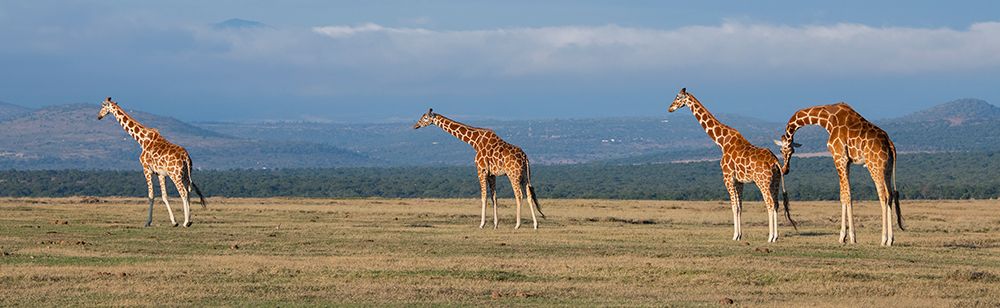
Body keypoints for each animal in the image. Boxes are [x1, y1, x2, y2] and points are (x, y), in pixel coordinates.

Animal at [98, 97, 207, 227]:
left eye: (103, 106)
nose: (99, 116)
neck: (141, 140)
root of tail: (186, 157)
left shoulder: (146, 169)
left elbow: (151, 196)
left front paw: (148, 222)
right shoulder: (160, 173)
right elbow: (164, 196)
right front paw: (174, 221)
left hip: (175, 175)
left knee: (183, 193)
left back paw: (186, 222)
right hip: (186, 175)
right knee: (189, 192)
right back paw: (188, 221)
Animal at [412, 108, 548, 229]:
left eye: (425, 117)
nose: (415, 126)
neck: (475, 142)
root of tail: (525, 157)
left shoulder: (481, 170)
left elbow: (483, 197)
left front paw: (482, 224)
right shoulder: (492, 174)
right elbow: (494, 197)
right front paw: (495, 224)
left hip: (513, 174)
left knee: (519, 195)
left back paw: (517, 225)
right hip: (524, 175)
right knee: (529, 195)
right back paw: (535, 225)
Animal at [668, 88, 800, 242]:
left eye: (678, 97)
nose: (670, 108)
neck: (722, 142)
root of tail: (775, 162)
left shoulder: (727, 178)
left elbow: (734, 207)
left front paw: (735, 235)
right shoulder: (739, 181)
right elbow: (740, 207)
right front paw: (740, 235)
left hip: (762, 182)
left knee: (770, 204)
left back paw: (771, 237)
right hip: (775, 182)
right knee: (777, 205)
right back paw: (775, 236)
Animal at [772, 102, 908, 247]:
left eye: (784, 150)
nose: (785, 169)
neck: (828, 120)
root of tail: (890, 143)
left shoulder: (839, 157)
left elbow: (847, 195)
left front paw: (851, 237)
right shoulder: (847, 161)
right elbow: (843, 195)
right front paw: (843, 237)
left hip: (875, 166)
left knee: (884, 196)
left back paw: (884, 239)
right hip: (887, 169)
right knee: (891, 195)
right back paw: (891, 239)